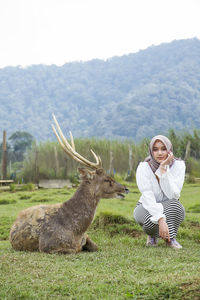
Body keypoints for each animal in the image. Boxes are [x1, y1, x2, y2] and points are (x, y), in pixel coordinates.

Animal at [9, 114, 129, 253]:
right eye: (106, 179)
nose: (125, 188)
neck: (76, 230)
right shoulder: (47, 246)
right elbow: (73, 251)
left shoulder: (86, 237)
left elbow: (95, 247)